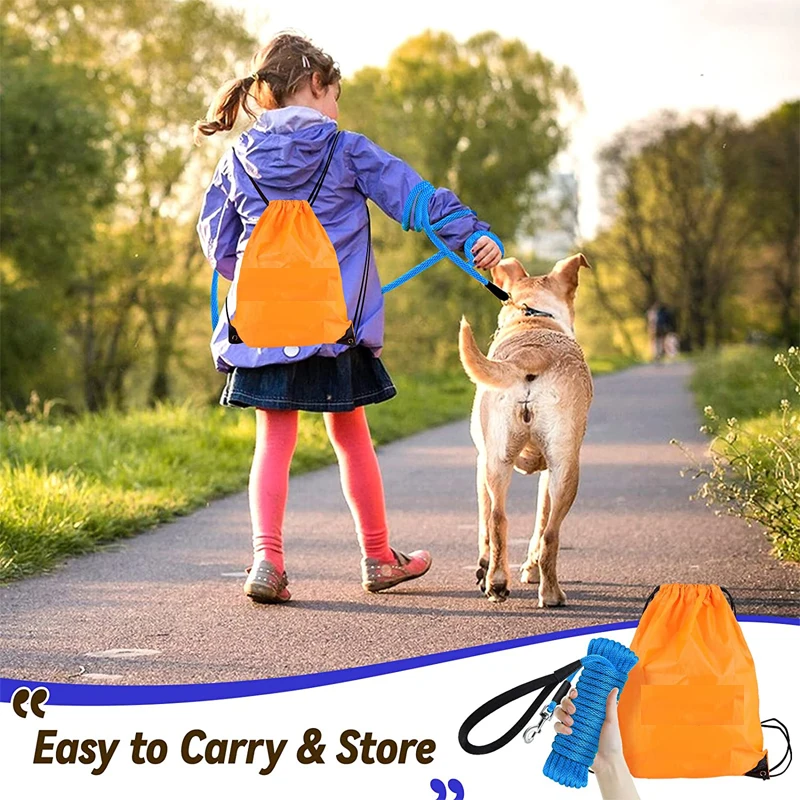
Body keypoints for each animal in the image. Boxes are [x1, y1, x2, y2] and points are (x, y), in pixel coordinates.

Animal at [456, 255, 592, 608]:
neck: (534, 320)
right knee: (548, 532)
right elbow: (539, 522)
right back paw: (550, 592)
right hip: (562, 467)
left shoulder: (483, 464)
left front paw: (486, 570)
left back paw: (498, 583)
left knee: (498, 519)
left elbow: (490, 524)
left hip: (501, 462)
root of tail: (533, 352)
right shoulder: (543, 471)